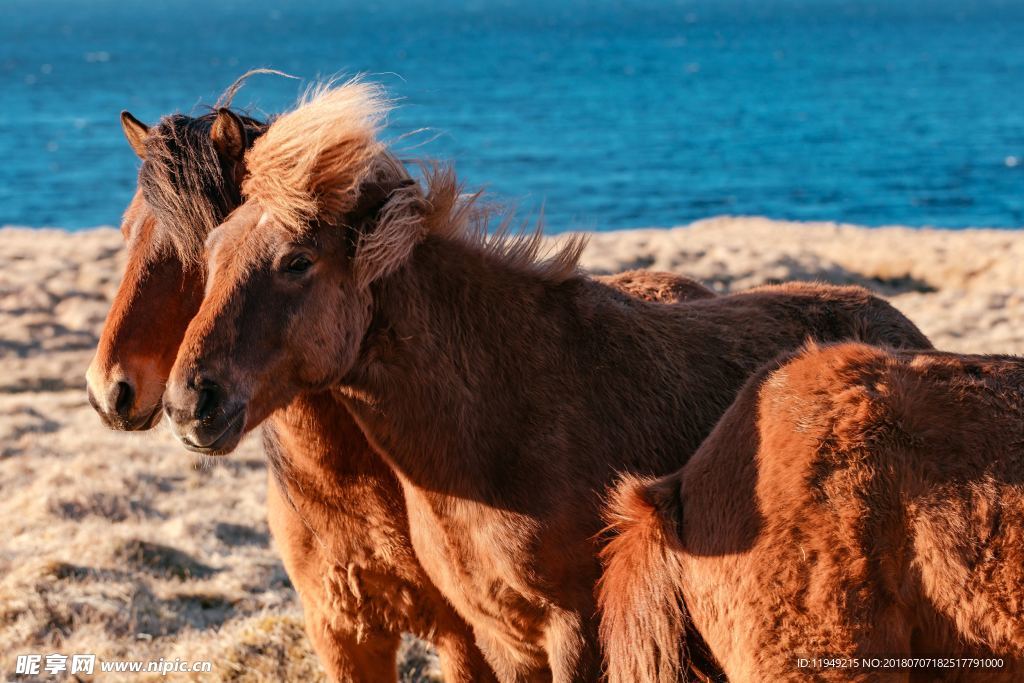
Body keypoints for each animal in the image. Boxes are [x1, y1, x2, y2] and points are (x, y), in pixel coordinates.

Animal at [83, 82, 716, 679]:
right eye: (126, 231)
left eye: (197, 245)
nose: (110, 390)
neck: (351, 486)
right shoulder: (341, 633)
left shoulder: (469, 639)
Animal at [161, 80, 937, 679]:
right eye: (212, 251)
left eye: (296, 262)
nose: (189, 401)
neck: (501, 417)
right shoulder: (500, 635)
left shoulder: (577, 631)